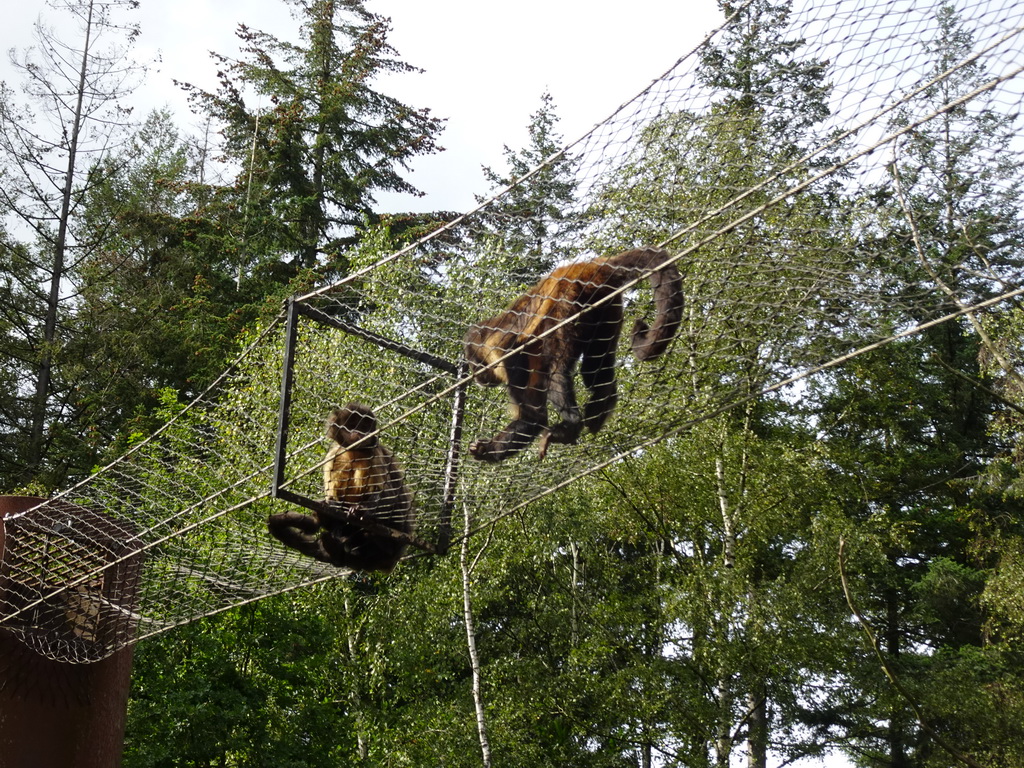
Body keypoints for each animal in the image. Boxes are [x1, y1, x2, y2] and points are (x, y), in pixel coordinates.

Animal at [272, 405, 419, 573]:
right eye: (353, 425)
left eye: (364, 427)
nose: (360, 433)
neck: (353, 451)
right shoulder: (334, 454)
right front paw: (329, 507)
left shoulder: (373, 452)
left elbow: (388, 494)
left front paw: (361, 511)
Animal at [464, 247, 679, 462]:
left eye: (472, 365)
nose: (476, 376)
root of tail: (590, 266)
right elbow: (532, 418)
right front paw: (485, 449)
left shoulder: (494, 349)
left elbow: (531, 403)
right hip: (607, 305)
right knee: (592, 366)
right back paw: (602, 400)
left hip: (568, 298)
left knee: (556, 368)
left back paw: (570, 426)